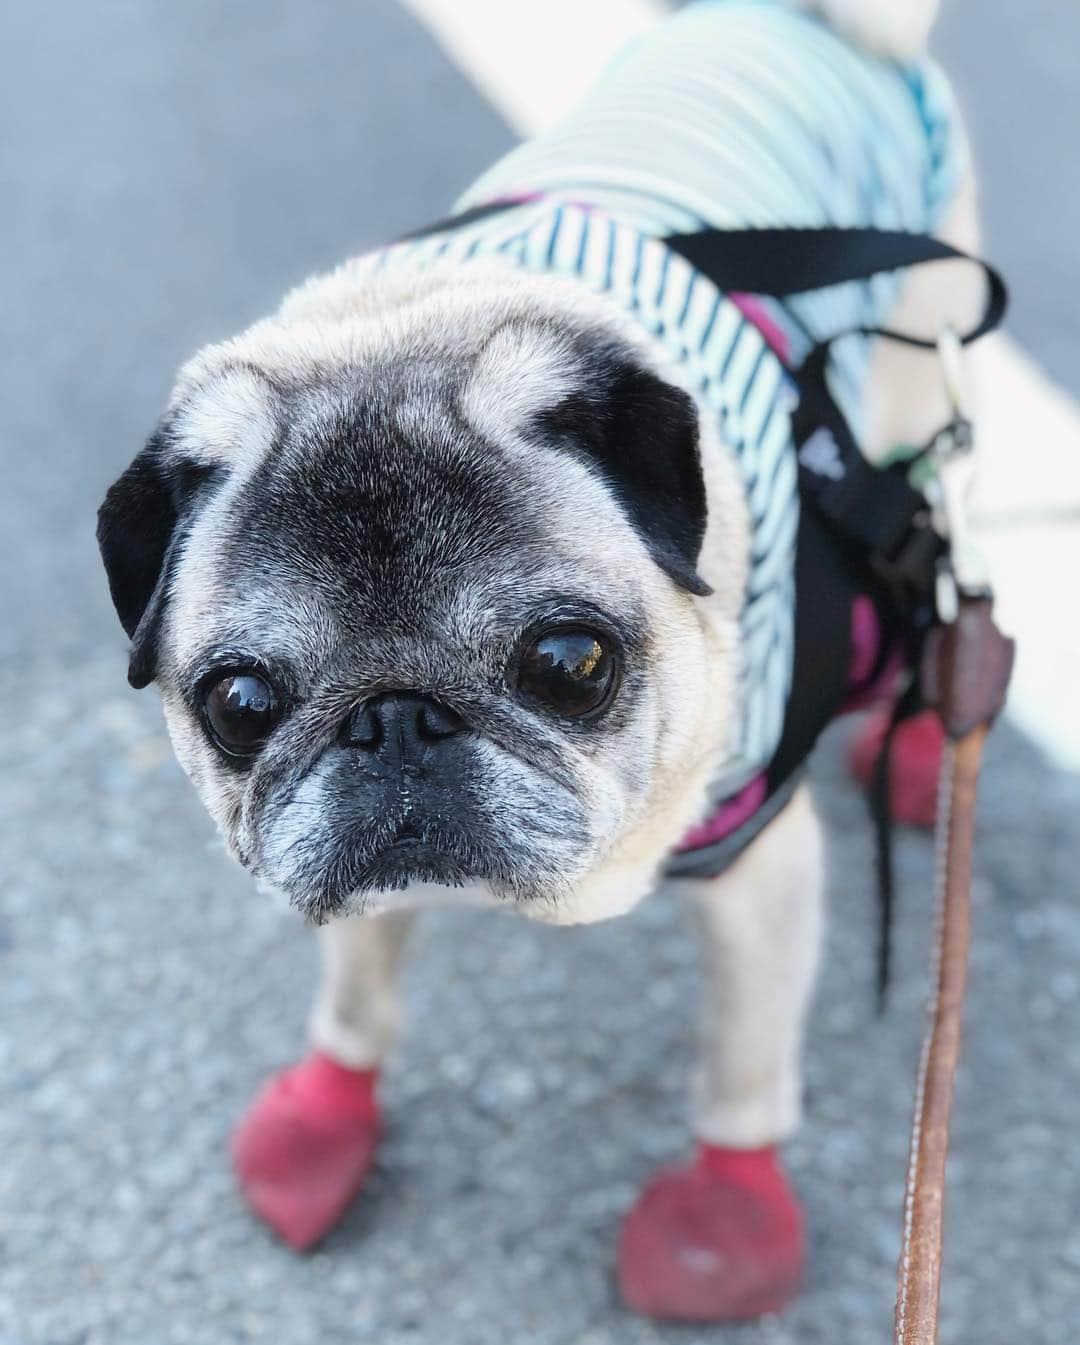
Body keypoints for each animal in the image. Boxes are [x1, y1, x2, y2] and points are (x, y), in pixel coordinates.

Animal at [96, 0, 984, 1323]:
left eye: (571, 662)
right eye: (241, 704)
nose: (393, 719)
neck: (421, 316)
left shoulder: (759, 868)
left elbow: (744, 1062)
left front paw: (727, 1212)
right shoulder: (345, 870)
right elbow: (357, 996)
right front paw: (324, 1113)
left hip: (917, 381)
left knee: (935, 565)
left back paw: (930, 737)